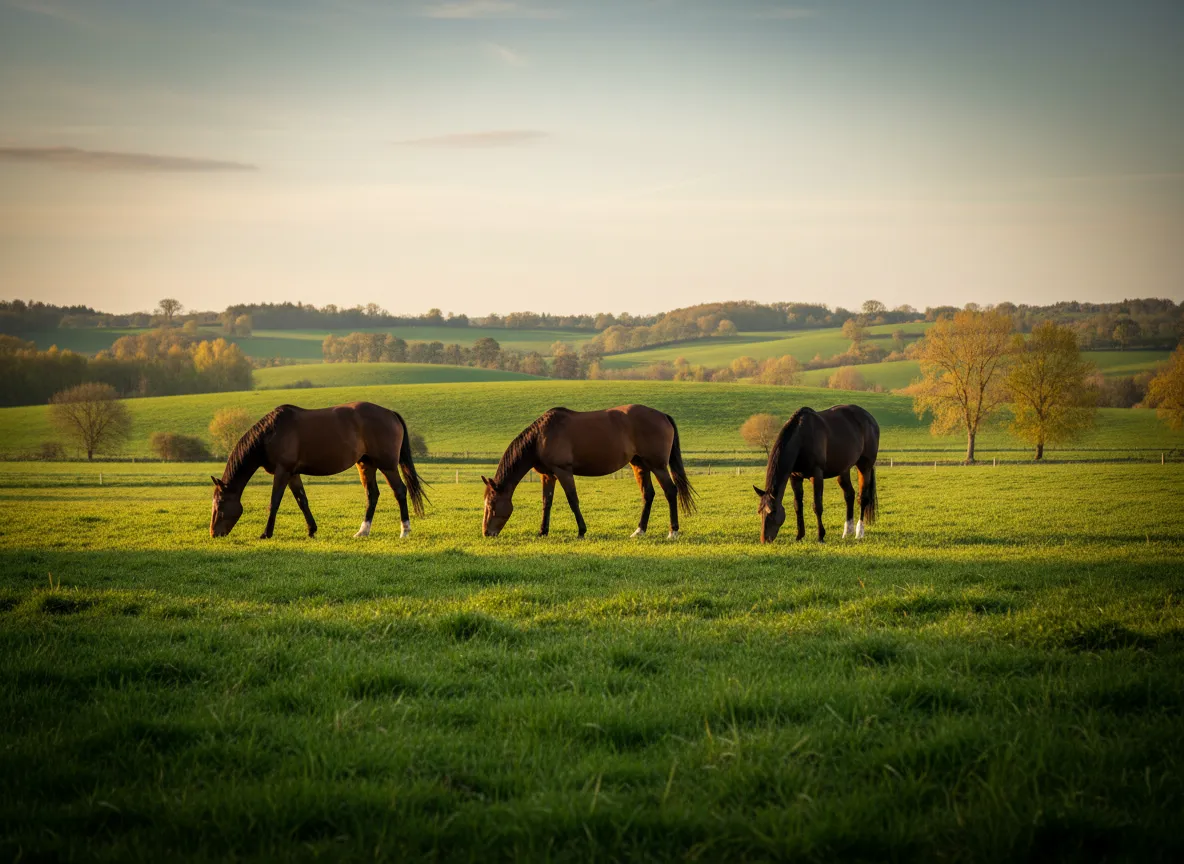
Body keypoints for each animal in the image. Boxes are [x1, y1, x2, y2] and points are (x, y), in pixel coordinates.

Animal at [210, 402, 427, 539]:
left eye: (220, 504)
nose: (214, 533)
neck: (271, 432)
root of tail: (390, 413)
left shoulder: (282, 471)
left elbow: (274, 502)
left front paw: (266, 533)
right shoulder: (293, 474)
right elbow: (302, 501)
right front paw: (312, 530)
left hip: (387, 466)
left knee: (400, 491)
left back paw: (405, 531)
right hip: (366, 465)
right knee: (372, 495)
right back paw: (363, 531)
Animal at [481, 405, 696, 539]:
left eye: (492, 505)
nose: (486, 533)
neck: (540, 437)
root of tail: (662, 415)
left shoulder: (563, 471)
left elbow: (573, 500)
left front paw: (581, 531)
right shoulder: (548, 475)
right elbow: (546, 502)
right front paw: (542, 531)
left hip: (658, 466)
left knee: (671, 491)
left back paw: (673, 532)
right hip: (640, 465)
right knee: (648, 494)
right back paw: (640, 530)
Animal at [753, 405, 879, 543]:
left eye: (772, 512)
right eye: (759, 511)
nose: (764, 539)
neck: (801, 439)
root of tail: (870, 419)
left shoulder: (817, 475)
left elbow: (817, 506)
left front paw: (820, 536)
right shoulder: (795, 477)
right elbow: (798, 505)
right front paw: (799, 536)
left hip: (864, 466)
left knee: (863, 498)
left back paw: (859, 532)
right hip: (843, 469)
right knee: (849, 495)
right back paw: (847, 532)